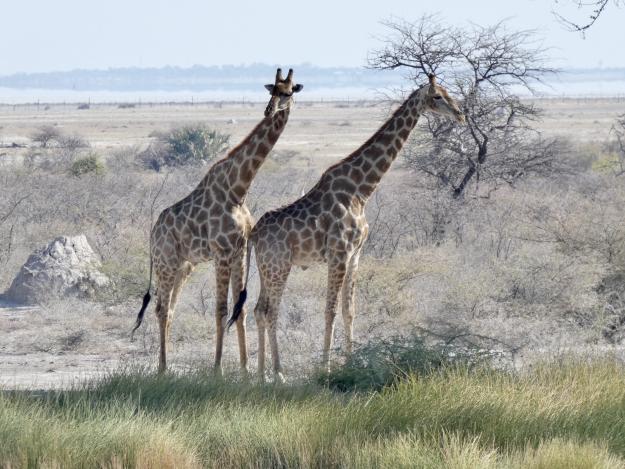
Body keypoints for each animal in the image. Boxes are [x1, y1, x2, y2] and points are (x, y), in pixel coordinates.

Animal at [132, 68, 303, 373]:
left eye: (288, 92)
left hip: (183, 266)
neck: (238, 189)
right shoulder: (222, 253)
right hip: (165, 262)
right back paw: (162, 369)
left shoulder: (240, 251)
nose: (269, 110)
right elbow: (221, 309)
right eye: (272, 91)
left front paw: (245, 371)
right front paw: (218, 370)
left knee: (169, 308)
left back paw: (167, 365)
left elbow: (240, 308)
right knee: (160, 308)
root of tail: (152, 233)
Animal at [228, 74, 464, 381]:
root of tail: (254, 234)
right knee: (269, 310)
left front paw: (351, 362)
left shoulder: (355, 255)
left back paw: (261, 374)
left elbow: (348, 309)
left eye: (448, 92)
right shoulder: (339, 253)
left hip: (269, 266)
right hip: (279, 265)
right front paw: (326, 367)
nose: (460, 113)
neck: (361, 190)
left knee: (259, 309)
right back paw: (277, 373)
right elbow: (329, 310)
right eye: (437, 96)